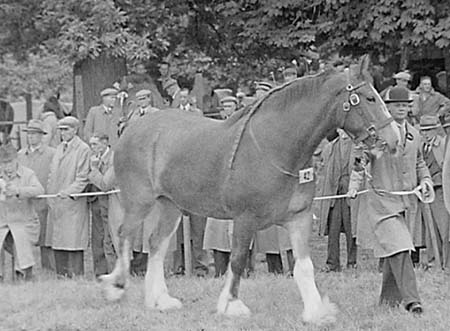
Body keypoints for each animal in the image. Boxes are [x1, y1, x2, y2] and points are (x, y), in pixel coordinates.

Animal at [101, 55, 398, 326]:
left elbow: (303, 266)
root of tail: (132, 129)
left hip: (170, 205)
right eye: (369, 98)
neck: (277, 146)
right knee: (125, 235)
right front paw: (231, 305)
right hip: (139, 201)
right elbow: (238, 260)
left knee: (156, 244)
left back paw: (160, 300)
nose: (393, 139)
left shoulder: (298, 217)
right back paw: (115, 287)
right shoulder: (245, 219)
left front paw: (316, 312)